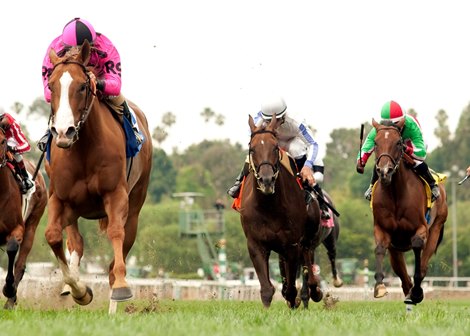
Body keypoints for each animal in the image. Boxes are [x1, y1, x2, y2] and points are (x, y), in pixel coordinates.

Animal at [0, 127, 47, 308]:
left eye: (2, 141)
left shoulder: (18, 228)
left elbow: (13, 248)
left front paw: (9, 290)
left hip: (33, 223)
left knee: (20, 264)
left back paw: (10, 301)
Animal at [43, 40, 151, 308]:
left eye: (83, 86)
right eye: (51, 85)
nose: (64, 132)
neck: (83, 150)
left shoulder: (116, 195)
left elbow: (115, 233)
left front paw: (121, 287)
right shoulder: (59, 198)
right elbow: (53, 235)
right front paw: (78, 289)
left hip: (135, 205)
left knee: (119, 250)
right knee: (76, 243)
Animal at [239, 114, 324, 308]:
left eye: (275, 147)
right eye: (252, 149)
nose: (267, 180)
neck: (268, 206)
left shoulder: (291, 244)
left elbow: (293, 287)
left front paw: (296, 300)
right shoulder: (255, 243)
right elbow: (267, 289)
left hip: (307, 239)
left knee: (308, 262)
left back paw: (314, 291)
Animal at [370, 119, 448, 306]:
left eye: (398, 143)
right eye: (375, 142)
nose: (384, 171)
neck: (396, 194)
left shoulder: (421, 228)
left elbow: (418, 248)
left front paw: (418, 292)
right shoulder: (383, 230)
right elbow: (379, 249)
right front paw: (379, 286)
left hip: (436, 227)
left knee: (424, 263)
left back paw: (415, 292)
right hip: (395, 248)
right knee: (403, 276)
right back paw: (409, 294)